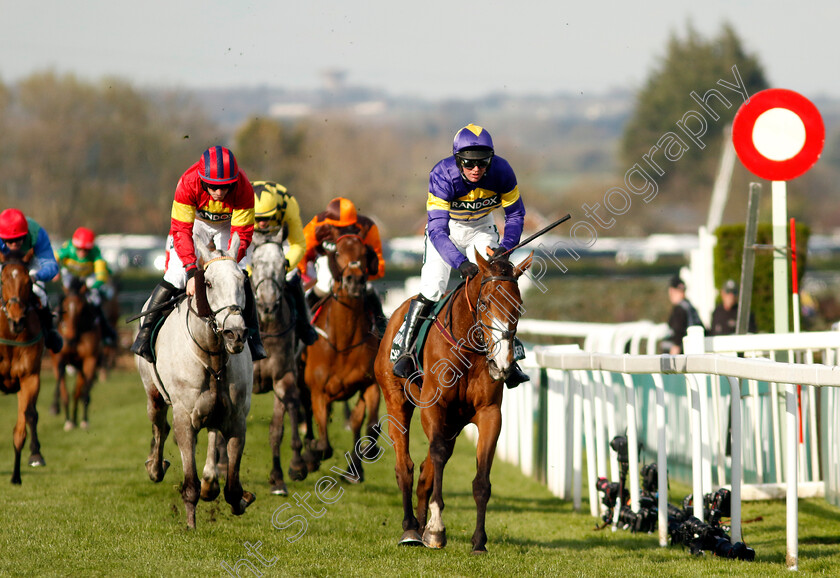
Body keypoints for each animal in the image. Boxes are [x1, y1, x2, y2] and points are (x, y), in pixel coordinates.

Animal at [51, 276, 102, 430]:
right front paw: (56, 408)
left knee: (78, 392)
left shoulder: (90, 359)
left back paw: (77, 418)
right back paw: (70, 419)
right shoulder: (60, 358)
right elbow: (62, 388)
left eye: (81, 307)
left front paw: (84, 420)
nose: (70, 337)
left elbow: (83, 392)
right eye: (65, 306)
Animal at [302, 232, 380, 480]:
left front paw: (358, 464)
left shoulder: (369, 384)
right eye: (337, 252)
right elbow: (324, 445)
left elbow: (369, 426)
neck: (343, 342)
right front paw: (312, 455)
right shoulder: (318, 391)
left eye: (364, 253)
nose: (354, 281)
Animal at [374, 250, 532, 552]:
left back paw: (420, 527)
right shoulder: (434, 408)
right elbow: (436, 455)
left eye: (518, 306)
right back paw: (411, 529)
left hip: (454, 423)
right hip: (397, 402)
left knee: (425, 472)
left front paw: (479, 541)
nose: (503, 363)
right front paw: (436, 529)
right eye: (484, 303)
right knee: (405, 467)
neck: (469, 349)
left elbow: (481, 479)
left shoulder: (489, 413)